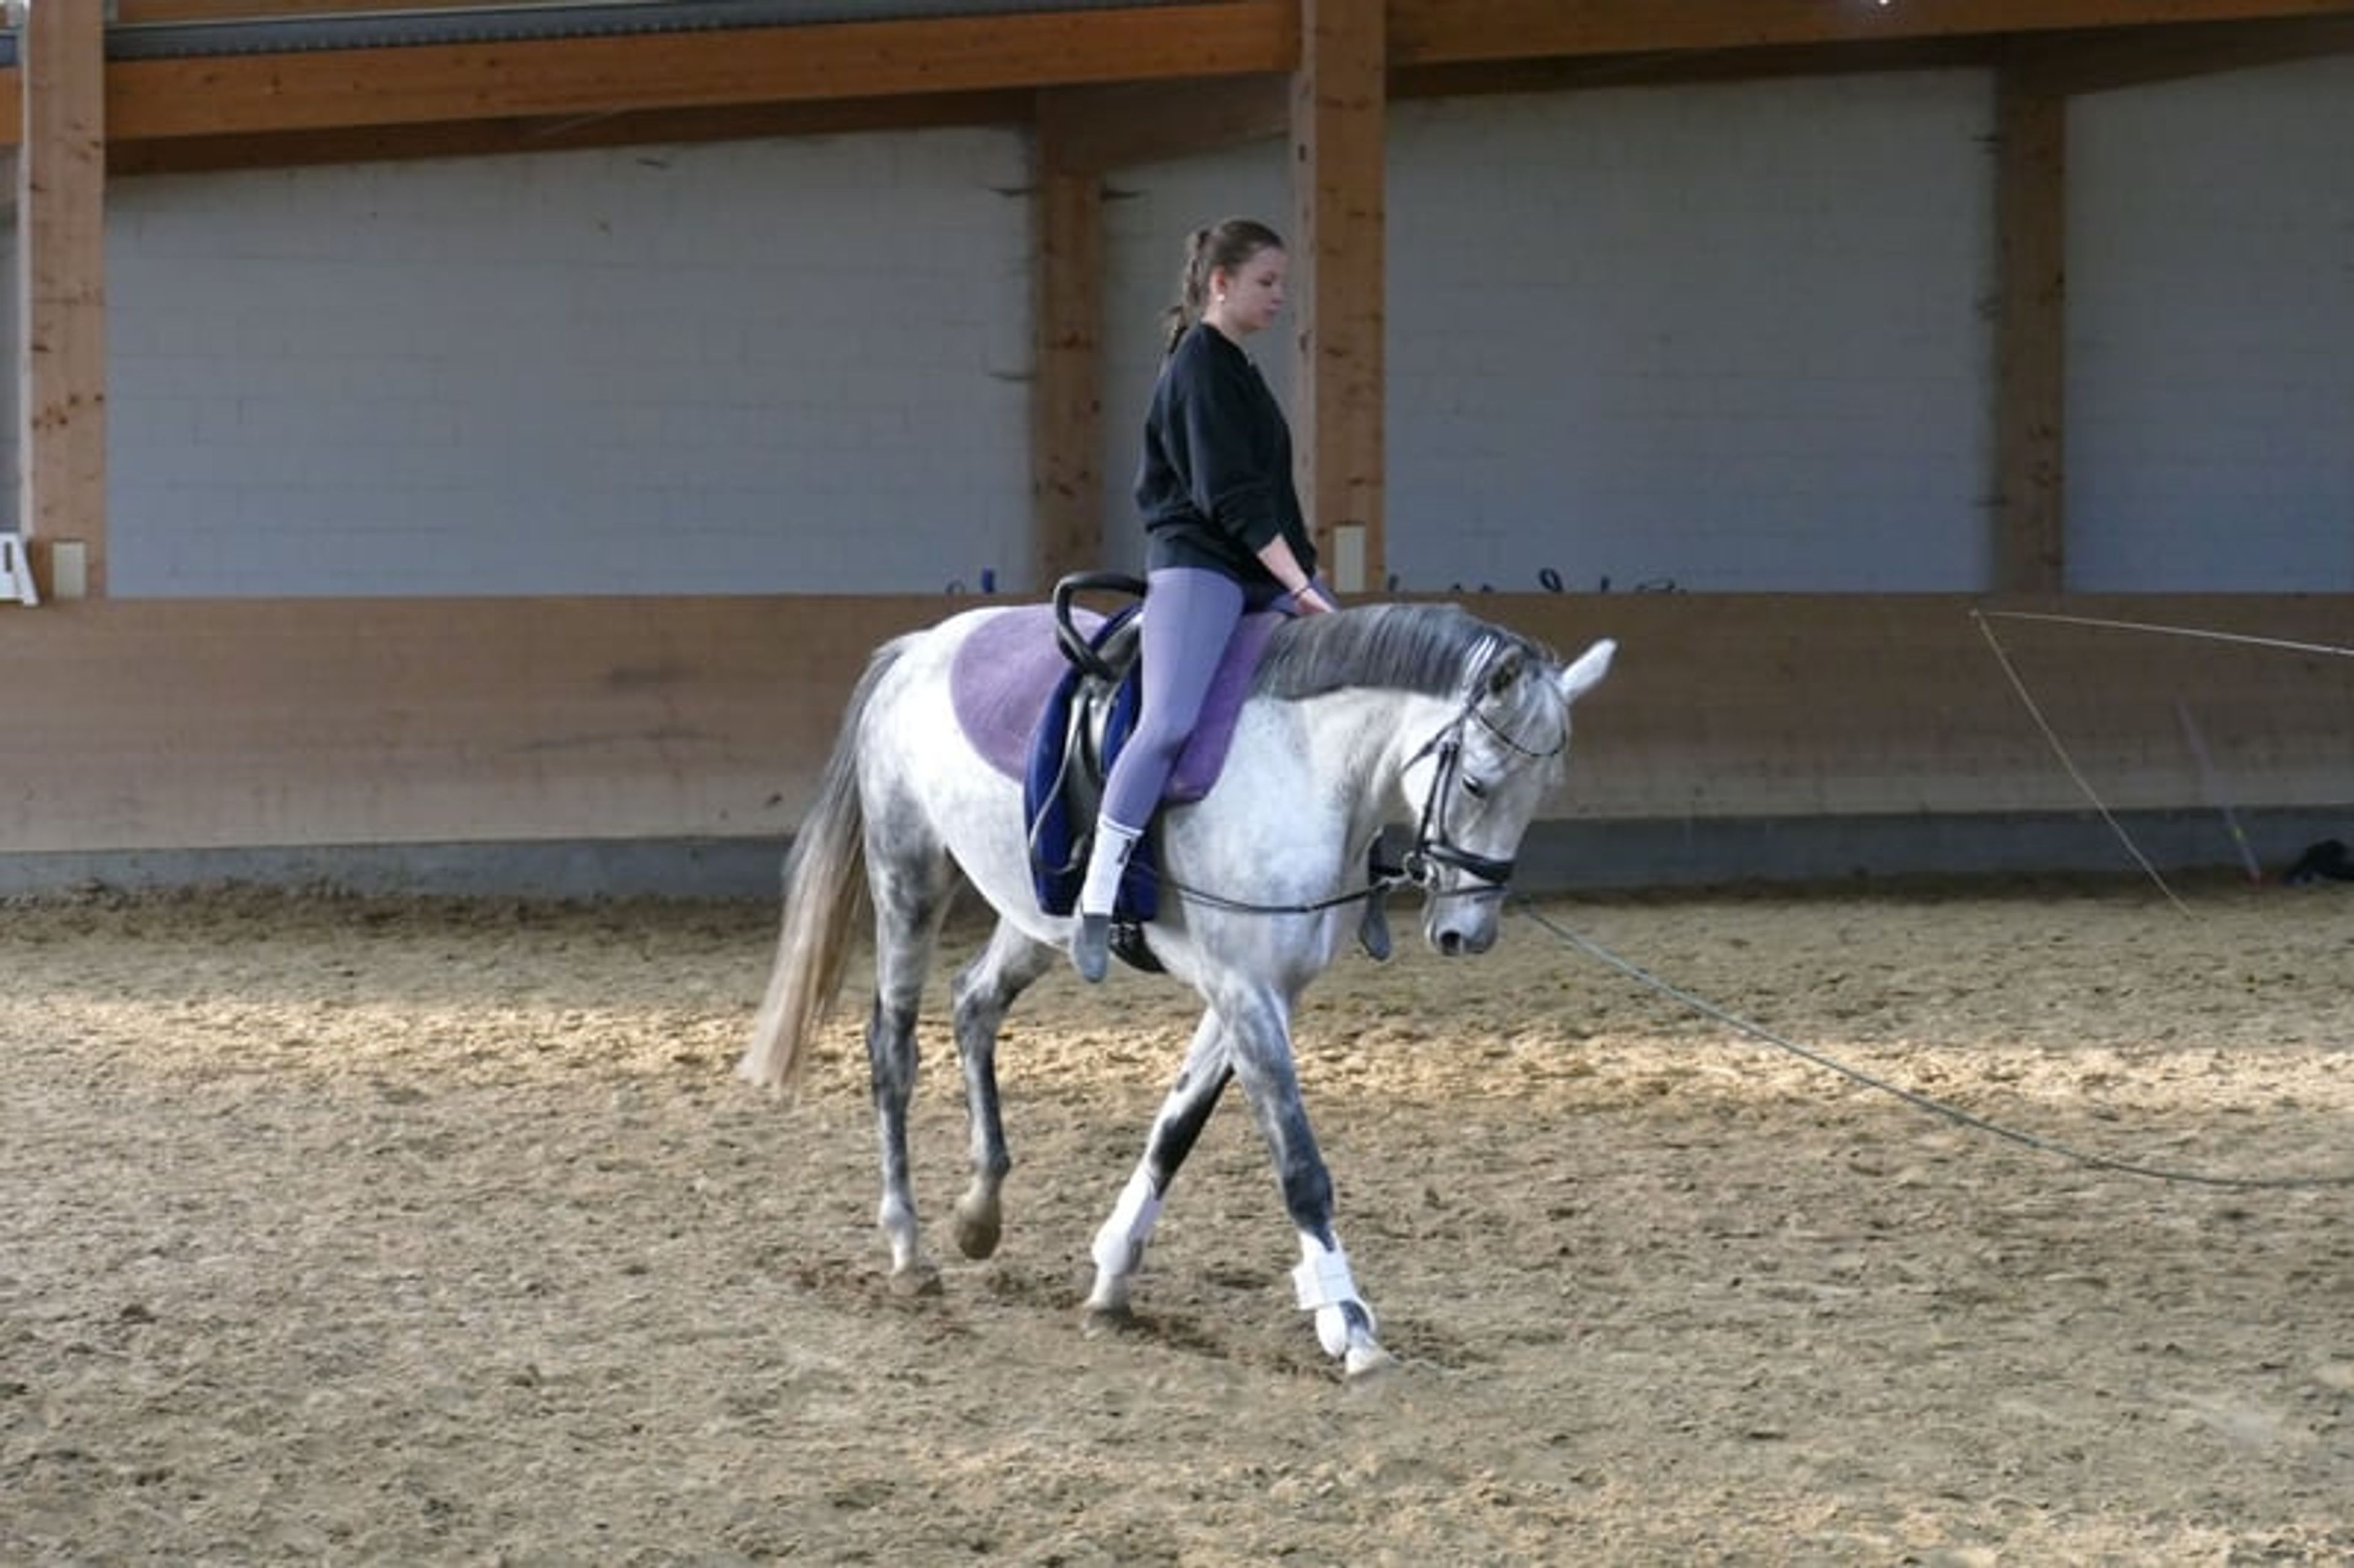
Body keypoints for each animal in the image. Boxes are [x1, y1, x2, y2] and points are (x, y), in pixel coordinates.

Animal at [737, 597, 1615, 1378]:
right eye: (1476, 783)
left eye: (1544, 792)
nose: (1468, 933)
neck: (1304, 766)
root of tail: (921, 645)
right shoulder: (1245, 987)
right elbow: (1300, 1163)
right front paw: (1351, 1326)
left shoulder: (1261, 992)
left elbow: (1176, 1128)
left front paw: (1111, 1279)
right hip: (908, 874)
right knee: (893, 1045)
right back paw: (908, 1246)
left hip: (1037, 915)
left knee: (974, 1003)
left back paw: (980, 1211)